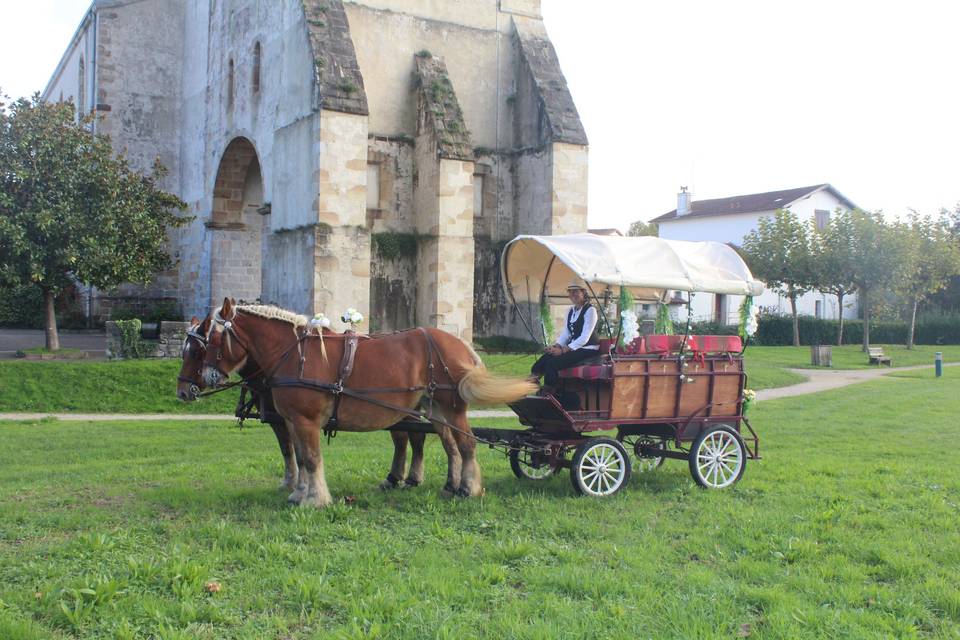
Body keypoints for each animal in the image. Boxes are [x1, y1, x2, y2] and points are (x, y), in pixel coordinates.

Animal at [173, 314, 428, 490]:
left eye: (196, 352)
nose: (183, 392)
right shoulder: (287, 419)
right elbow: (293, 450)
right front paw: (297, 483)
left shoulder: (284, 419)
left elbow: (290, 450)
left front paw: (294, 483)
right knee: (406, 438)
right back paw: (398, 478)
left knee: (412, 437)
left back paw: (407, 478)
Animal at [202, 298, 536, 504]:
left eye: (212, 339)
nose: (204, 379)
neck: (295, 355)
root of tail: (461, 345)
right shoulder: (293, 421)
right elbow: (300, 456)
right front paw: (299, 494)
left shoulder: (304, 421)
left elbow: (311, 458)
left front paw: (315, 500)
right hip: (435, 409)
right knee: (450, 446)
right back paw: (450, 486)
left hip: (451, 407)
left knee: (466, 445)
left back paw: (468, 488)